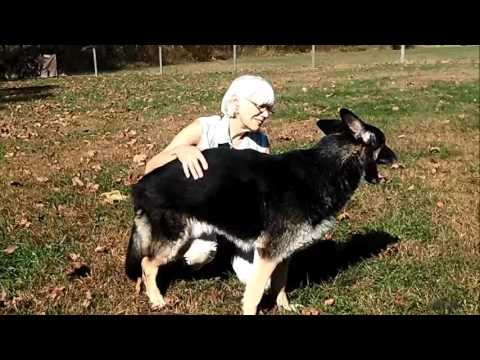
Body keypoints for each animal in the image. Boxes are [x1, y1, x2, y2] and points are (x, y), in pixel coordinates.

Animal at [125, 108, 396, 314]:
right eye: (383, 143)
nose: (397, 158)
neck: (328, 166)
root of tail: (141, 184)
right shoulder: (267, 255)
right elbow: (255, 293)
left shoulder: (283, 253)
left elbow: (280, 285)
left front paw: (285, 307)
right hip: (174, 238)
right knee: (147, 264)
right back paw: (157, 300)